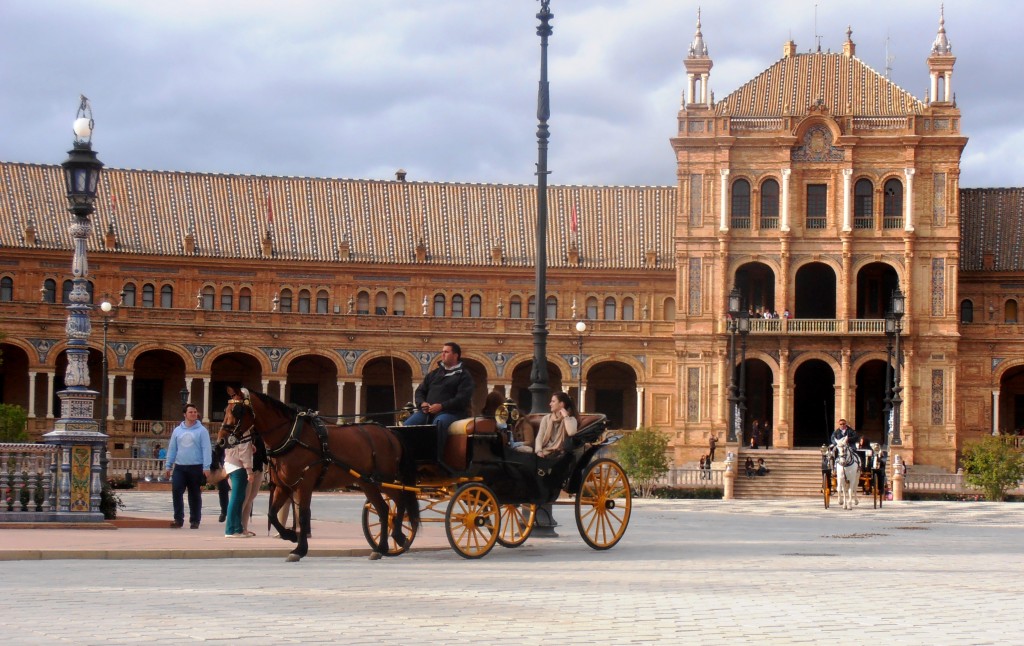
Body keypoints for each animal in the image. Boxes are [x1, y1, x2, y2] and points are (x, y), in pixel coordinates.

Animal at [220, 389, 419, 561]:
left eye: (237, 410)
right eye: (225, 410)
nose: (221, 440)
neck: (291, 436)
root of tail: (389, 432)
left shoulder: (304, 484)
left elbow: (302, 515)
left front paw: (299, 549)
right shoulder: (284, 486)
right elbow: (272, 514)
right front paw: (290, 535)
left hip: (384, 480)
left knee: (400, 499)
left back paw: (398, 535)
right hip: (368, 483)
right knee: (384, 509)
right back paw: (381, 547)